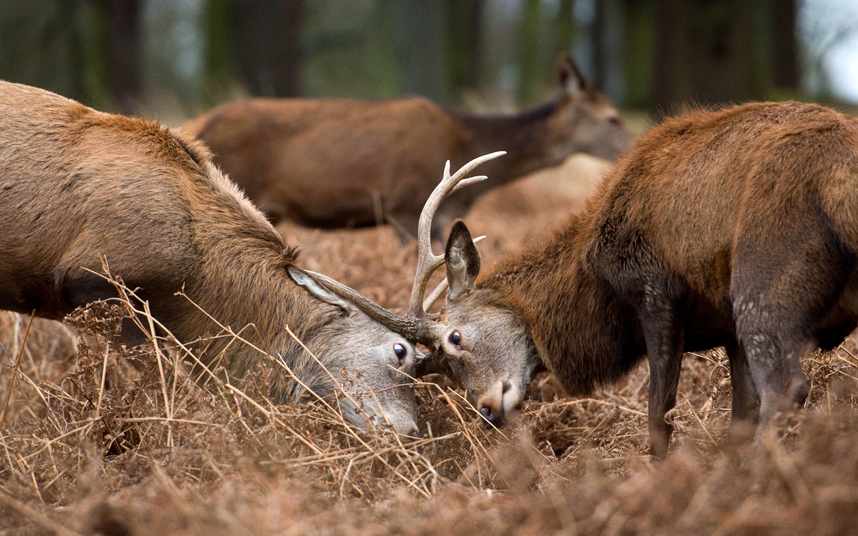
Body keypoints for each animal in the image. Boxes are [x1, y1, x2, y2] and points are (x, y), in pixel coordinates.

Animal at [310, 102, 856, 458]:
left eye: (455, 339)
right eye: (437, 368)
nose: (488, 409)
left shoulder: (654, 293)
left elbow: (659, 413)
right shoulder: (724, 326)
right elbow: (740, 412)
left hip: (764, 281)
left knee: (785, 388)